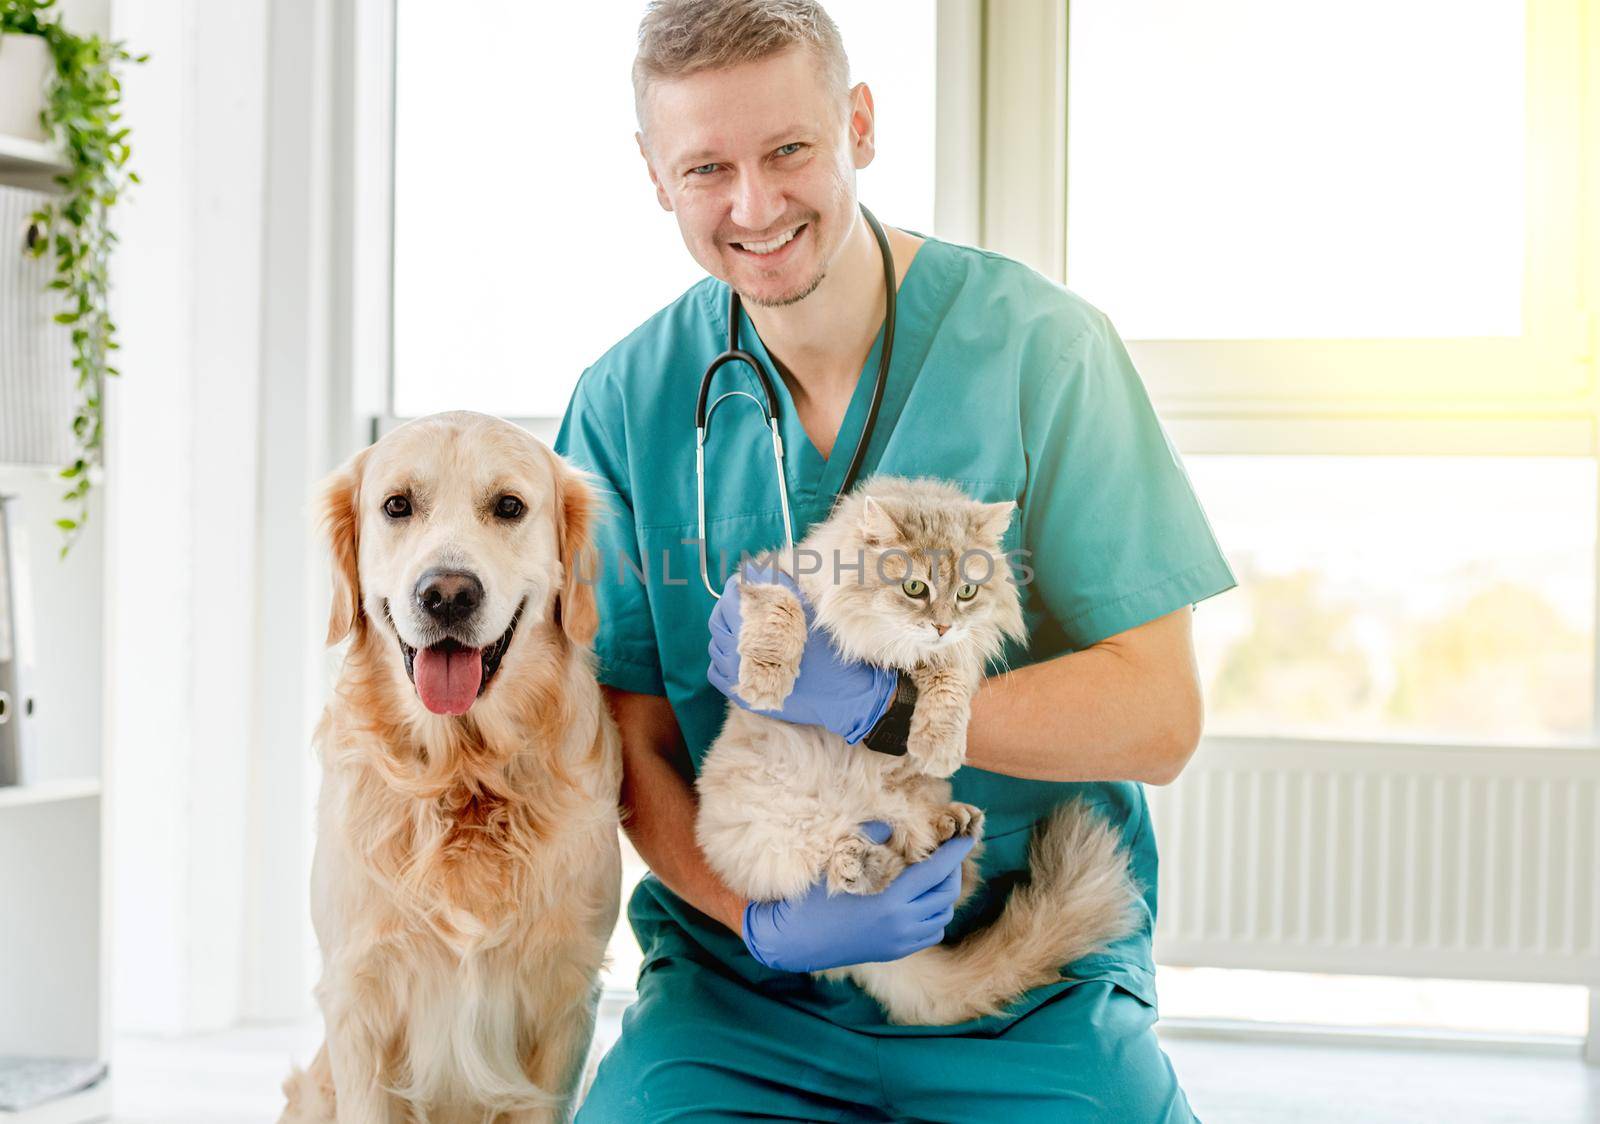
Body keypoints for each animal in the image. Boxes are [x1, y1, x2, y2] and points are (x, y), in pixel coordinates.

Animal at [278, 413, 620, 1124]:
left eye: (510, 507)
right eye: (396, 506)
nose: (446, 594)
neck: (463, 775)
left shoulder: (566, 999)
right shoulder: (358, 1000)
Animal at [697, 473, 1139, 1031]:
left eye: (967, 592)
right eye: (915, 588)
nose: (942, 624)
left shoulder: (955, 656)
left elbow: (947, 679)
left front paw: (938, 743)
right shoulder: (769, 575)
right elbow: (782, 612)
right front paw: (765, 681)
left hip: (911, 810)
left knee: (929, 865)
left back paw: (947, 828)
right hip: (777, 838)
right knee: (846, 882)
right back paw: (862, 870)